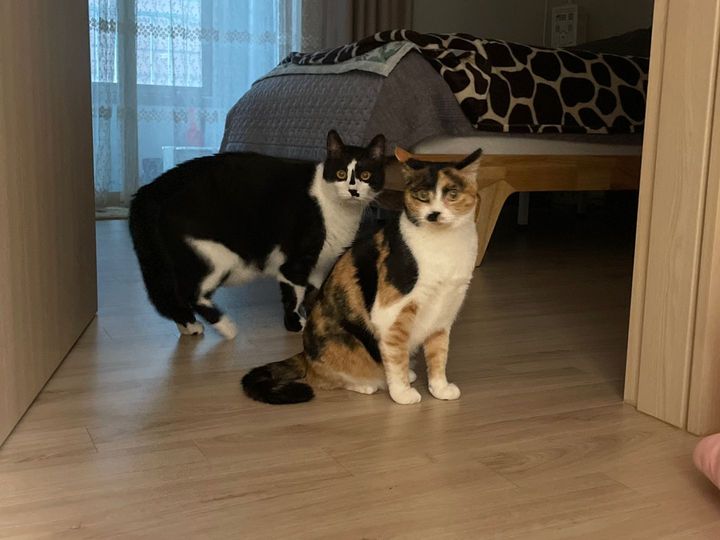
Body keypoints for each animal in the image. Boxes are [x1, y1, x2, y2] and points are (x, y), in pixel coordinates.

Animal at [129, 130, 385, 339]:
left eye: (365, 176)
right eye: (341, 173)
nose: (353, 191)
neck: (338, 211)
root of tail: (151, 189)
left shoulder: (320, 264)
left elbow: (315, 294)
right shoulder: (295, 263)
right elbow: (294, 295)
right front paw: (296, 325)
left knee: (171, 295)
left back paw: (189, 327)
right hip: (216, 256)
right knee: (191, 293)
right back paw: (227, 328)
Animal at [241, 146, 481, 405]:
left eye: (453, 194)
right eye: (423, 196)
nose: (434, 214)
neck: (445, 247)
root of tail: (304, 353)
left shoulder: (445, 311)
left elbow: (438, 355)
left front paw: (440, 388)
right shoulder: (390, 314)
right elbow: (396, 356)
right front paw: (402, 393)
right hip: (347, 343)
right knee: (321, 378)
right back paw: (367, 385)